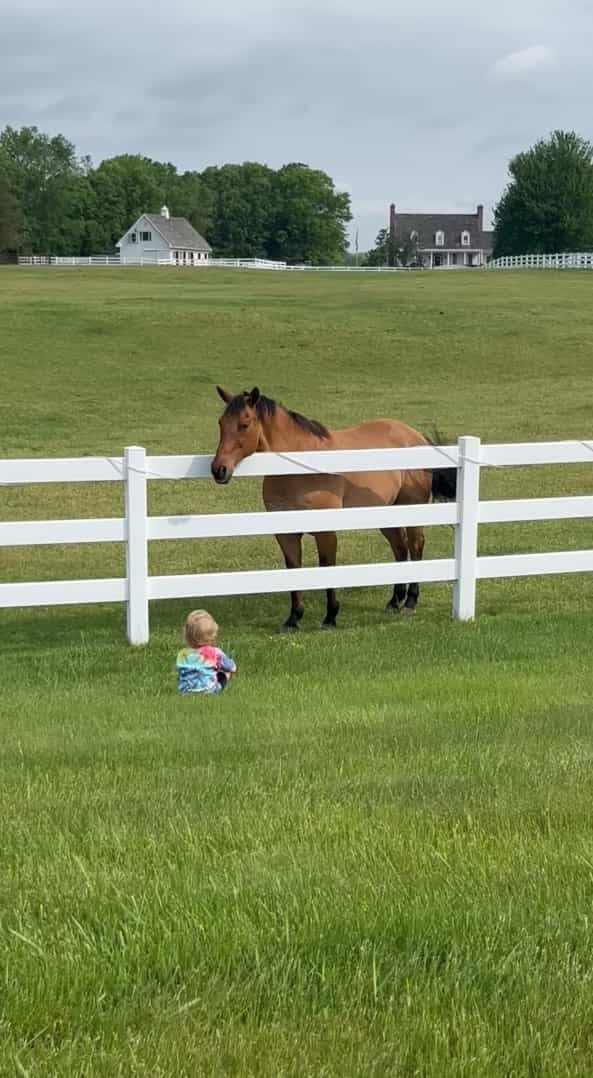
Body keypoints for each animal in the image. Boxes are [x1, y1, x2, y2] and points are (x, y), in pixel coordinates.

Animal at [211, 390, 457, 629]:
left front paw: (330, 617)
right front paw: (293, 619)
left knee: (415, 546)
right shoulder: (286, 534)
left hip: (411, 511)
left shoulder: (325, 532)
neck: (300, 470)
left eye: (244, 424)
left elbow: (327, 568)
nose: (218, 469)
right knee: (400, 548)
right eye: (221, 423)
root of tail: (415, 436)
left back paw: (410, 602)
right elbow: (294, 570)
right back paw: (395, 601)